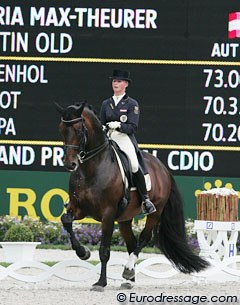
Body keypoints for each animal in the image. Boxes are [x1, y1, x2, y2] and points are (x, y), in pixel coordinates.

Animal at [55, 101, 208, 290]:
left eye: (78, 130)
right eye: (61, 130)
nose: (70, 164)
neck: (92, 168)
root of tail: (162, 168)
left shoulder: (108, 213)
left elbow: (104, 250)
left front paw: (101, 282)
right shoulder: (78, 208)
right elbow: (66, 221)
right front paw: (83, 253)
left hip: (155, 212)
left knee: (143, 238)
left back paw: (128, 271)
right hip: (124, 218)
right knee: (131, 243)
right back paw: (129, 279)